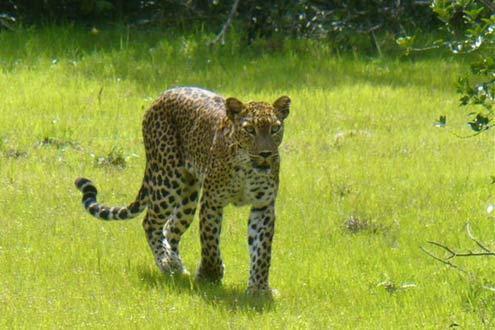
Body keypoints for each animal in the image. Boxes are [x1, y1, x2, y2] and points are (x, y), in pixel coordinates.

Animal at [73, 87, 290, 294]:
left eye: (275, 128)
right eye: (250, 129)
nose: (265, 154)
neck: (247, 168)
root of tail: (162, 96)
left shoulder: (263, 206)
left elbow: (262, 250)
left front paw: (259, 288)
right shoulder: (212, 201)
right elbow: (210, 242)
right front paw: (211, 275)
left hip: (188, 194)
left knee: (170, 227)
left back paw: (175, 264)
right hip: (167, 181)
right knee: (150, 222)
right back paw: (167, 263)